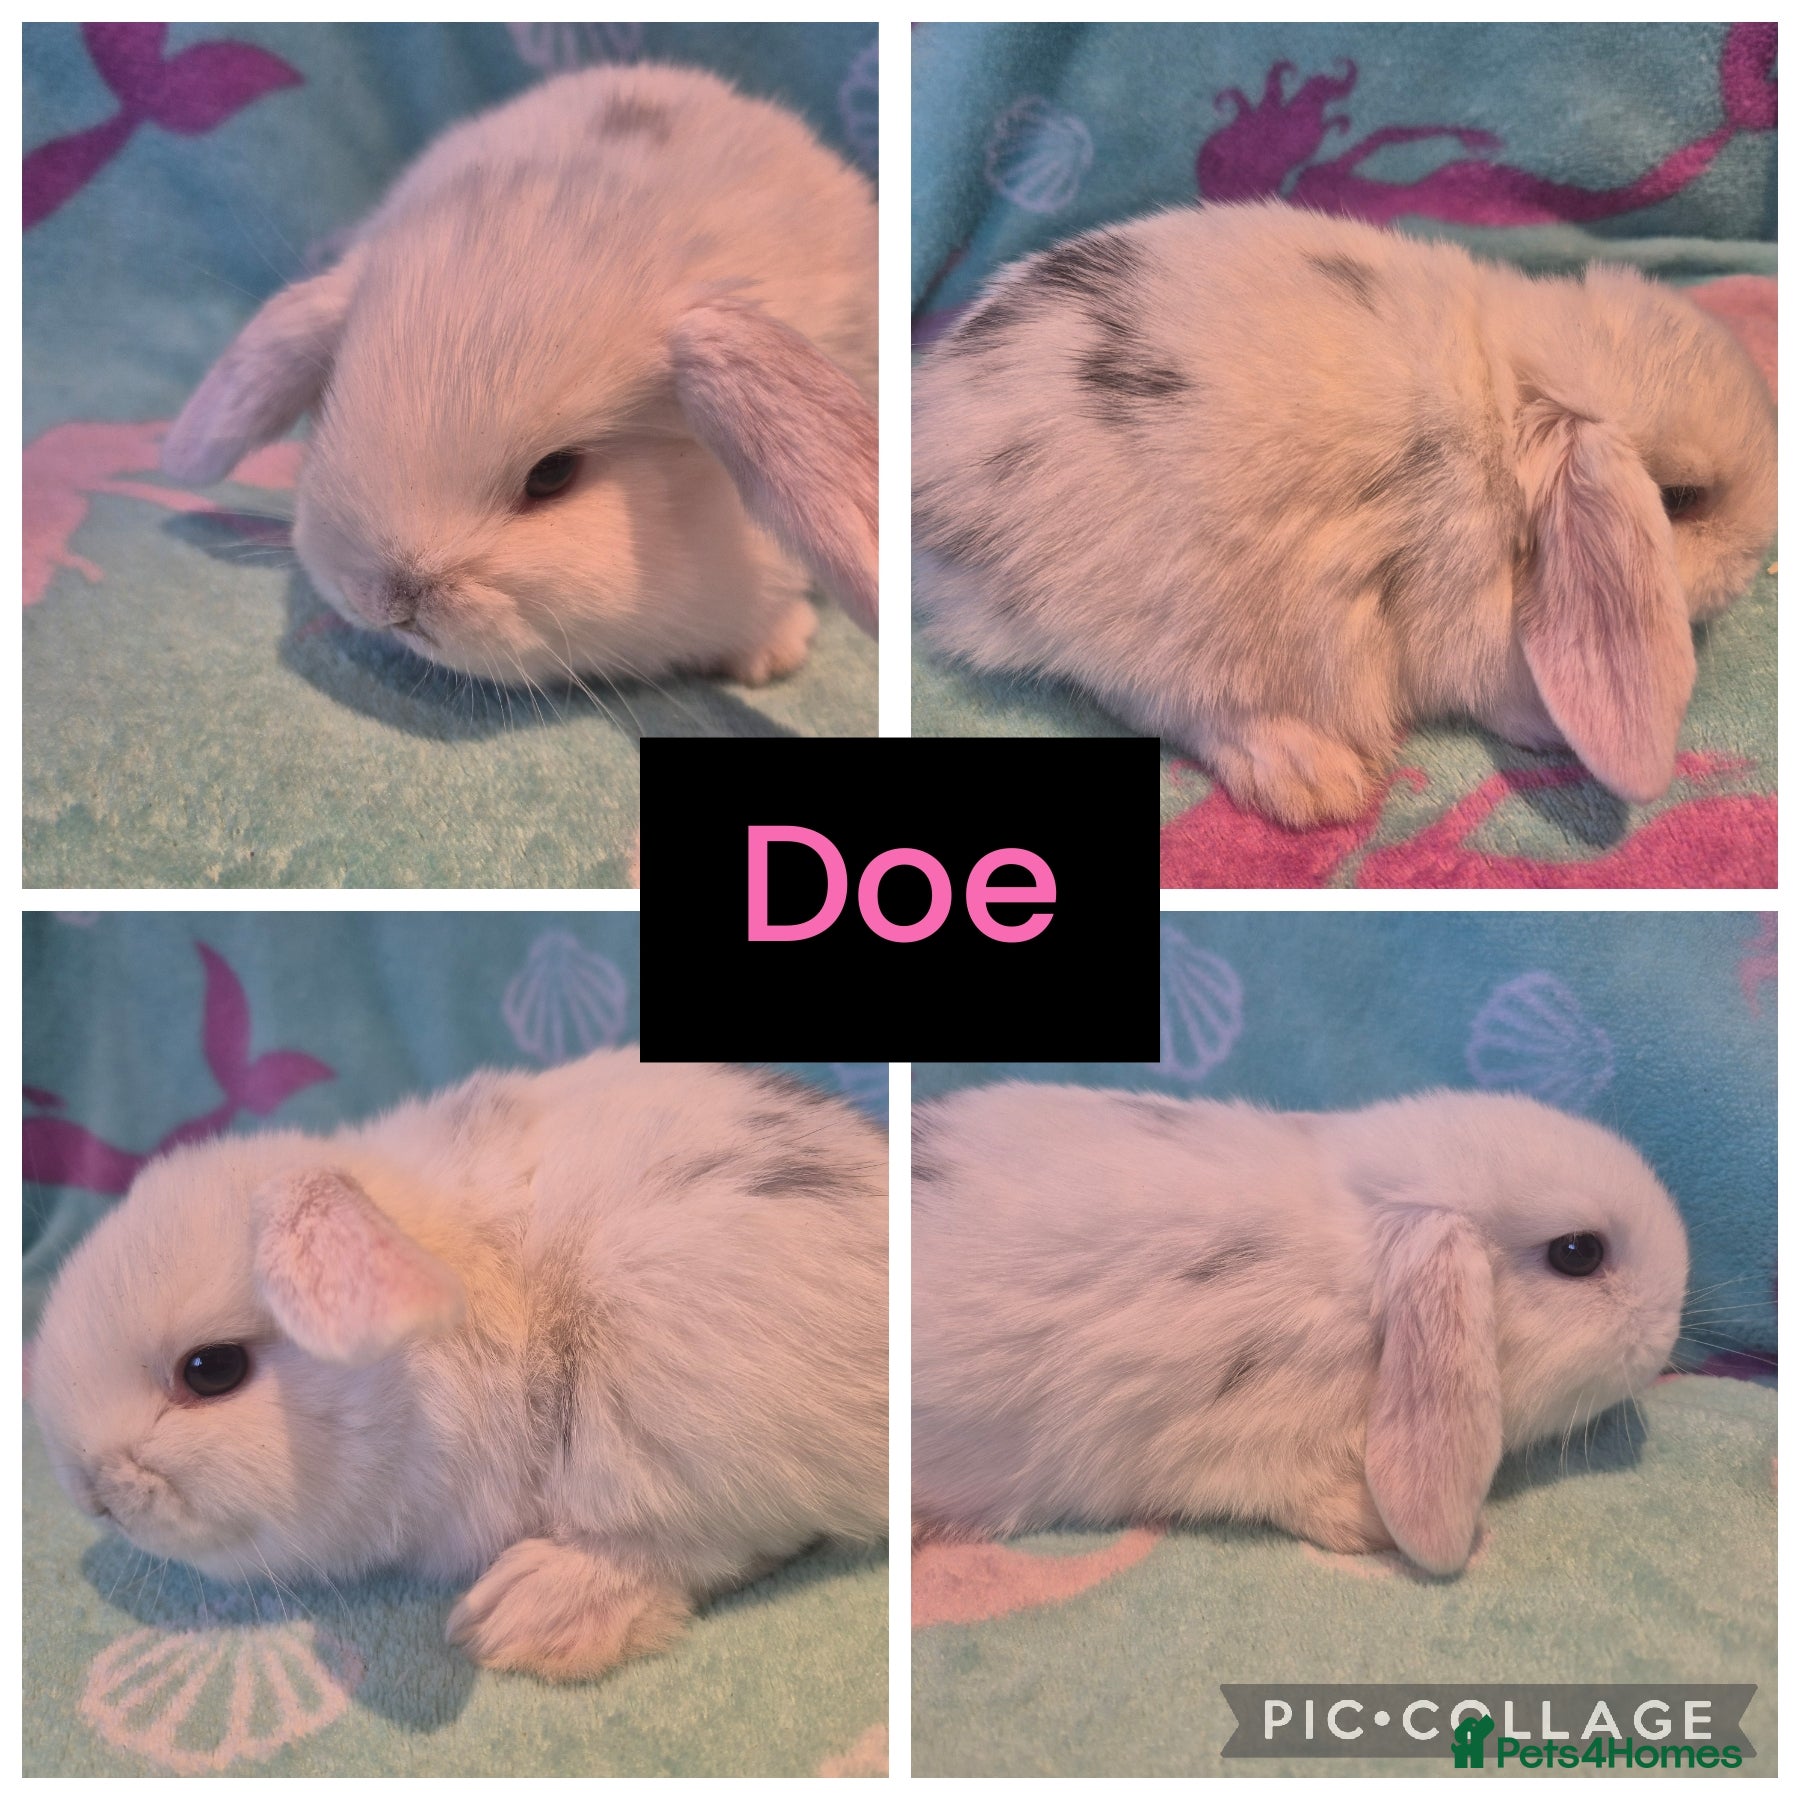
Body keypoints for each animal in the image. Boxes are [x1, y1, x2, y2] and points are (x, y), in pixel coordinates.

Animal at [913, 201, 1776, 826]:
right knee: (1154, 702)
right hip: (1166, 621)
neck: (1503, 415)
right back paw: (1310, 776)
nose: (1756, 556)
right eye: (1680, 499)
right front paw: (1547, 733)